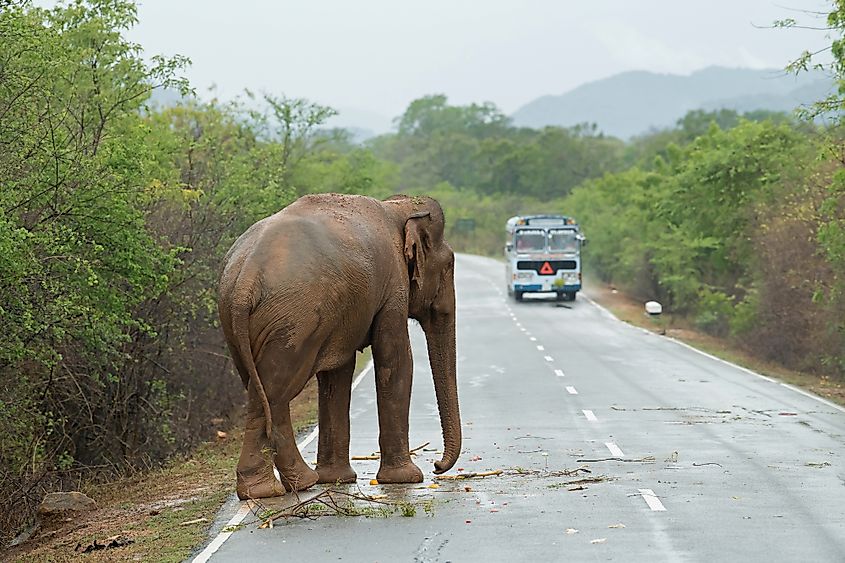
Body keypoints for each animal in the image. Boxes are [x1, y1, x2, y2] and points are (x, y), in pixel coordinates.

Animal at [214, 193, 458, 498]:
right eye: (449, 265)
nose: (437, 466)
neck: (398, 207)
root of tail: (246, 277)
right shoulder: (393, 286)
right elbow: (396, 360)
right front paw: (406, 478)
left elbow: (338, 373)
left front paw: (337, 479)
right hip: (294, 321)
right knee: (275, 393)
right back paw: (274, 489)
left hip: (241, 324)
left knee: (263, 393)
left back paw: (288, 485)